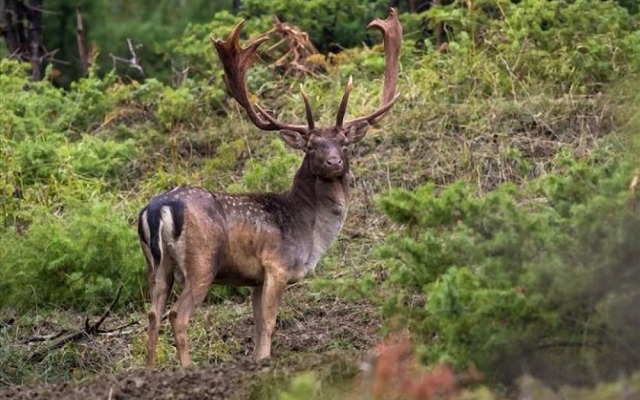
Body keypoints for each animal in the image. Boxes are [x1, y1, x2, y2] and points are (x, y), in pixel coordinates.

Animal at [138, 7, 402, 368]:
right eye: (311, 147)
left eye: (344, 143)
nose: (333, 162)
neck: (310, 233)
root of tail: (157, 209)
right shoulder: (276, 265)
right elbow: (270, 322)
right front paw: (264, 361)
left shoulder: (254, 278)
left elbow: (257, 323)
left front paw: (256, 359)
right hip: (201, 262)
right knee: (178, 315)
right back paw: (187, 367)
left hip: (155, 265)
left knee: (152, 313)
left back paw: (151, 369)